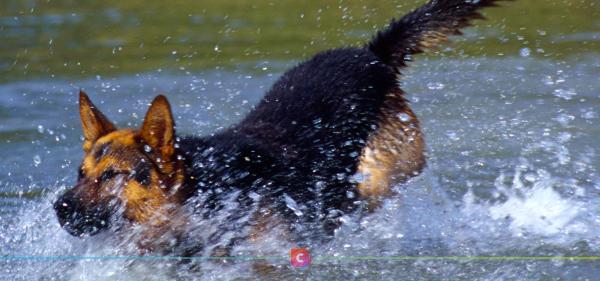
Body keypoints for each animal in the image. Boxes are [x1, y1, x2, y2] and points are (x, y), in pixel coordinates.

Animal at [54, 0, 508, 258]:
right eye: (81, 174)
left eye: (113, 176)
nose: (59, 207)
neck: (204, 189)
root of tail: (370, 56)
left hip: (382, 175)